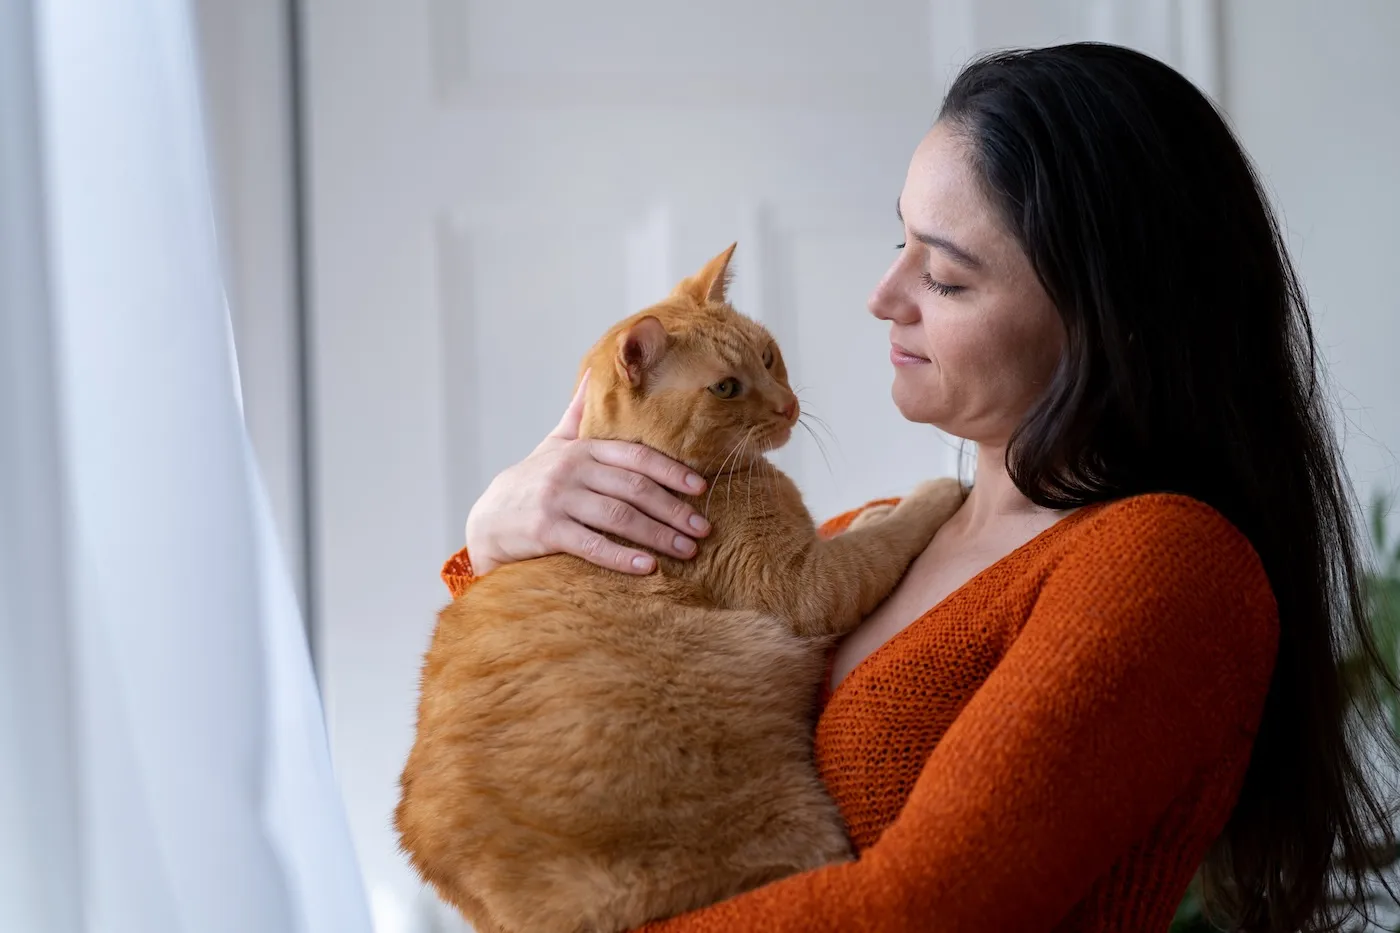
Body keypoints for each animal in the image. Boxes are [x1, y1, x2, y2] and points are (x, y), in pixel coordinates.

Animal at [394, 245, 963, 930]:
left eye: (767, 355)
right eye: (725, 387)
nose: (786, 405)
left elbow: (862, 530)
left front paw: (877, 508)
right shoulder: (803, 584)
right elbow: (885, 540)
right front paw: (935, 490)